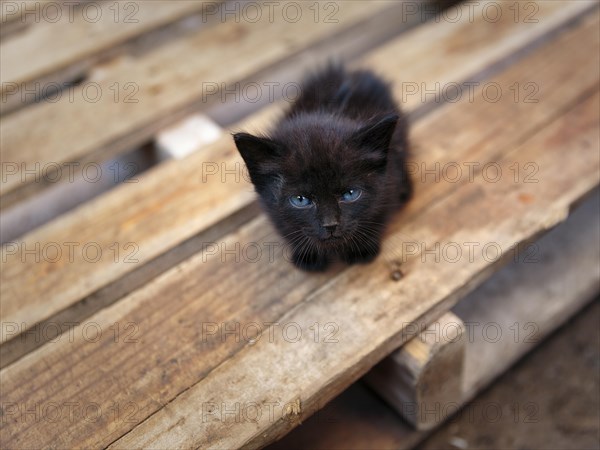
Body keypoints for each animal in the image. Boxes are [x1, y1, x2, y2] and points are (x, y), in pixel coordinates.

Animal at [232, 64, 410, 270]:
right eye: (300, 200)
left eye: (350, 194)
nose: (330, 225)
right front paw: (308, 255)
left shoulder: (389, 182)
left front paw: (361, 249)